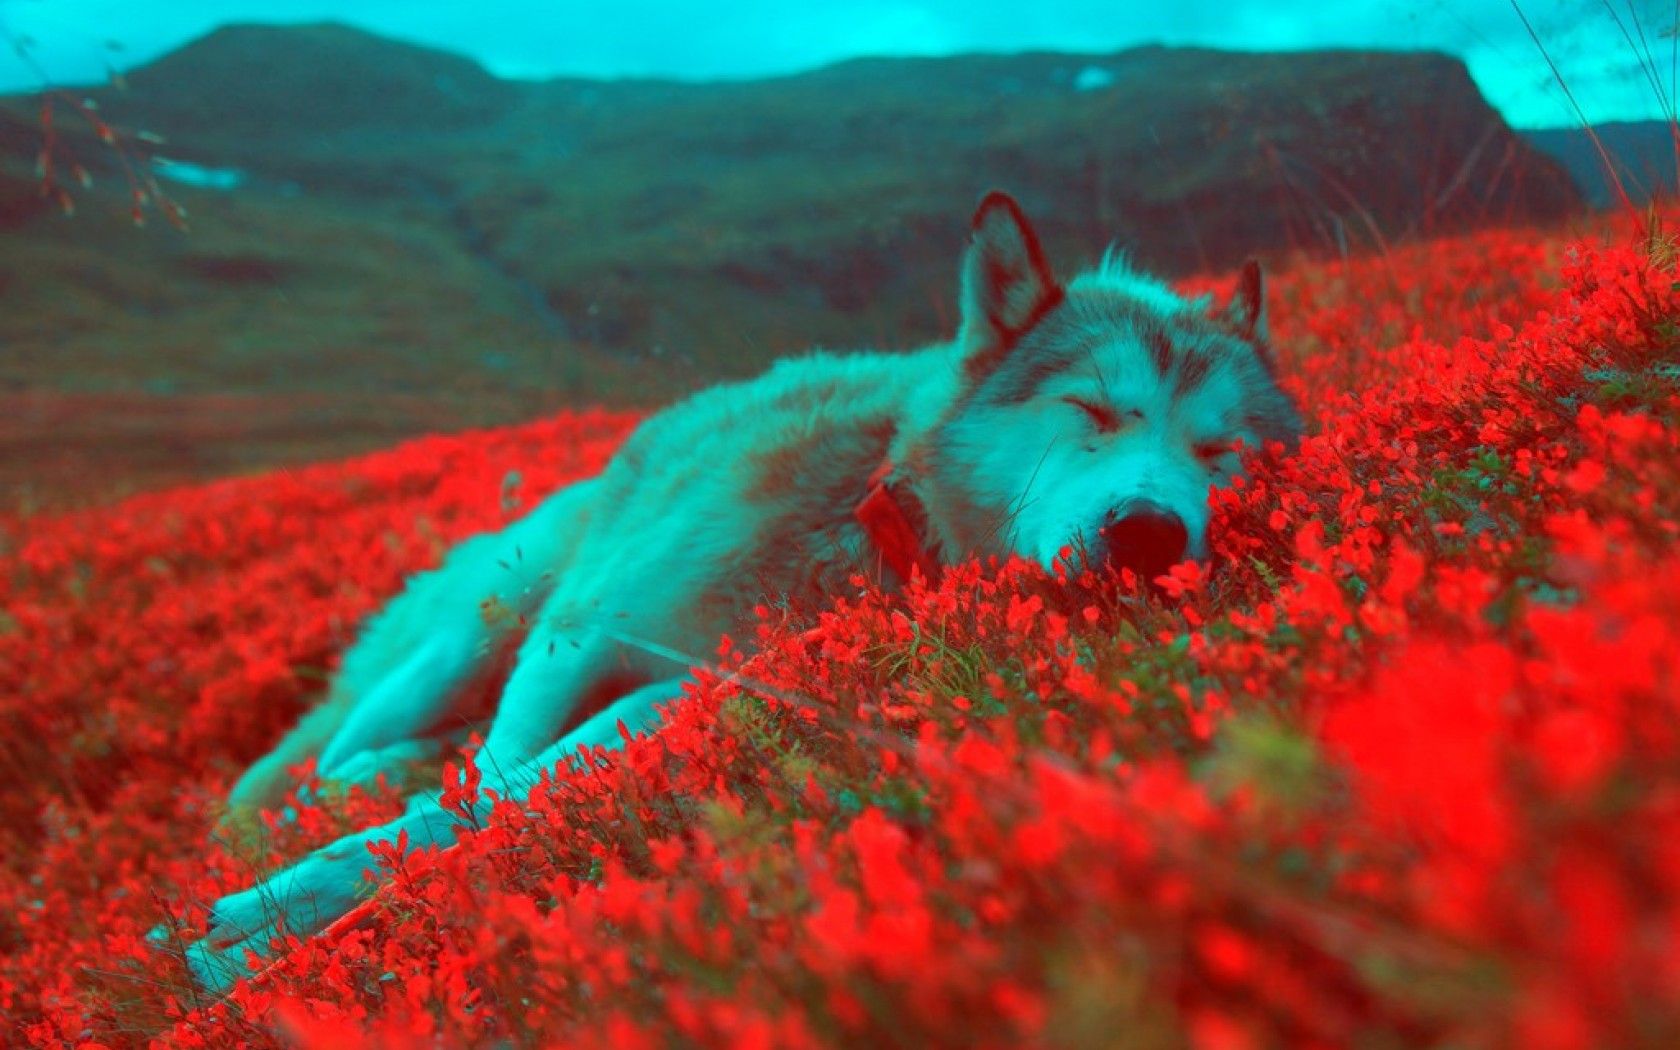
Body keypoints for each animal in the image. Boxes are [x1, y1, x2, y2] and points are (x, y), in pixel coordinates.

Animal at [178, 191, 1301, 991]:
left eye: (1221, 454)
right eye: (1091, 411)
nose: (1149, 534)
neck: (871, 520)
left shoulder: (680, 693)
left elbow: (492, 803)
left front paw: (270, 931)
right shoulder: (578, 640)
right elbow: (487, 784)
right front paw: (266, 919)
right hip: (479, 631)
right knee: (319, 756)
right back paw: (297, 806)